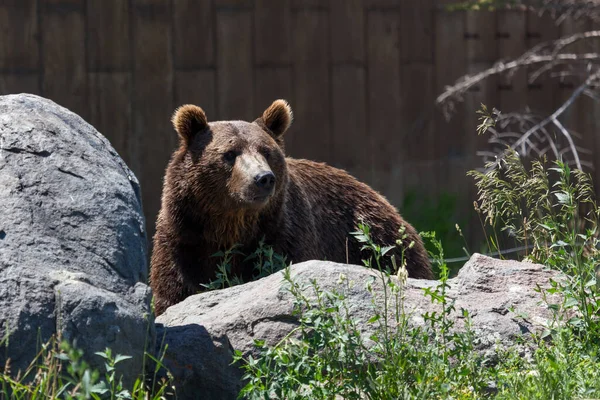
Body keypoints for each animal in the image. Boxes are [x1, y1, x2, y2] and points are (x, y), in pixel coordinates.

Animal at [150, 100, 432, 316]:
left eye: (266, 151)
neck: (230, 226)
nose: (263, 178)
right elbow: (174, 292)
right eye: (229, 154)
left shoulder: (283, 234)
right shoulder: (183, 240)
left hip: (376, 241)